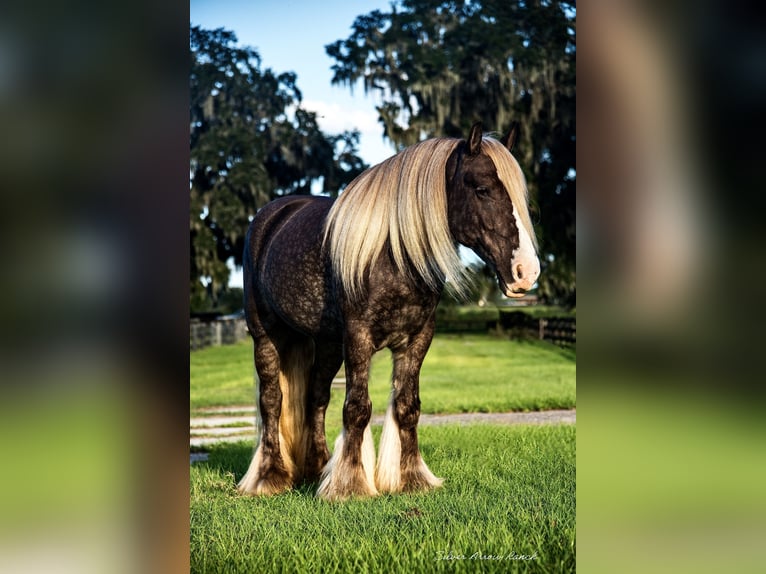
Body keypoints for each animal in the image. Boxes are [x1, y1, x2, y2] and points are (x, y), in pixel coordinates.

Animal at [237, 122, 544, 504]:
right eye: (482, 189)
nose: (526, 272)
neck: (392, 253)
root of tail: (271, 216)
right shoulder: (358, 338)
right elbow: (357, 408)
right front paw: (350, 485)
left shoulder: (417, 340)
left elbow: (408, 406)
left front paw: (410, 478)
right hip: (266, 336)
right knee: (272, 401)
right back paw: (270, 477)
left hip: (326, 344)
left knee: (315, 398)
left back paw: (317, 467)